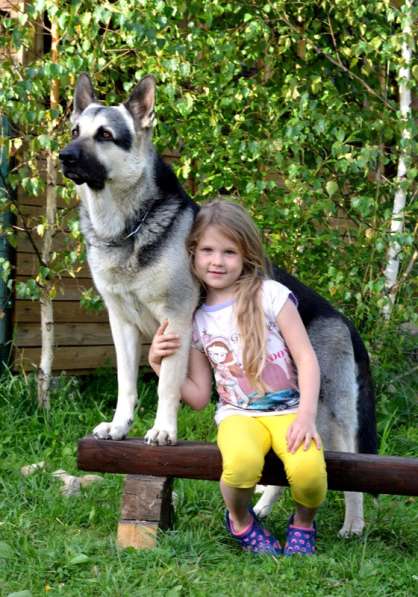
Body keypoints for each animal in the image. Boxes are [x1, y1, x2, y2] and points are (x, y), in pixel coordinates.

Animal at [60, 74, 378, 536]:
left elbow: (167, 386)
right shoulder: (122, 326)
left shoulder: (174, 321)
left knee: (352, 469)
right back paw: (263, 506)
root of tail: (344, 321)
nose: (64, 157)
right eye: (74, 131)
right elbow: (127, 384)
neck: (128, 226)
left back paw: (353, 524)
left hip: (338, 414)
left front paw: (163, 431)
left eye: (104, 135)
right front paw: (120, 427)